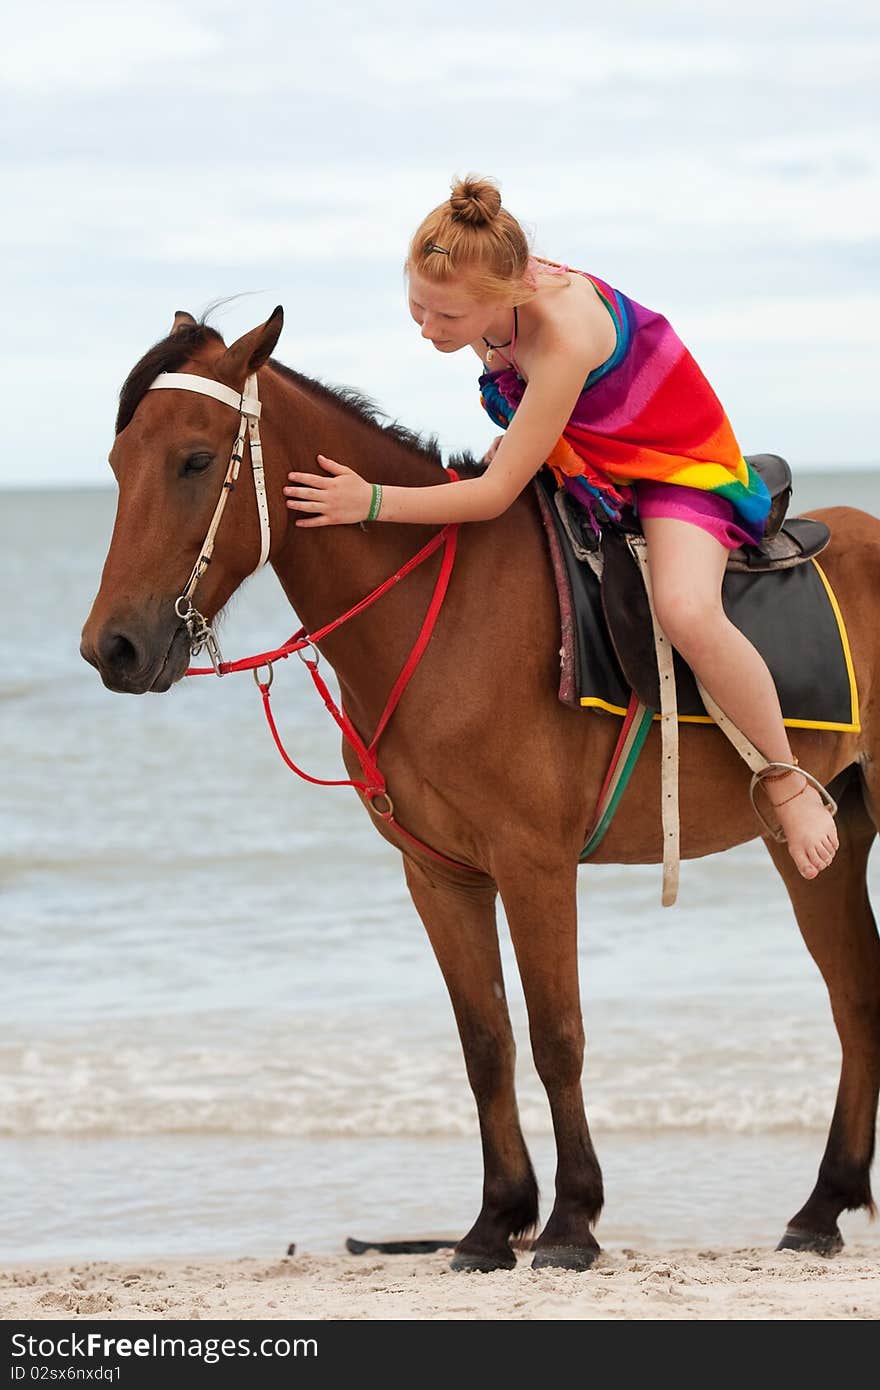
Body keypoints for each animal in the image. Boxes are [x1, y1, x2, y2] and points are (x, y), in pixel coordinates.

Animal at [78, 307, 873, 1273]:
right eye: (119, 461)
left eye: (195, 460)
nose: (111, 648)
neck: (444, 612)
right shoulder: (441, 875)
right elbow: (485, 1041)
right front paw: (497, 1222)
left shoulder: (536, 867)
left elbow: (557, 1037)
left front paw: (570, 1222)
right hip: (823, 844)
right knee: (856, 997)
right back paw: (822, 1207)